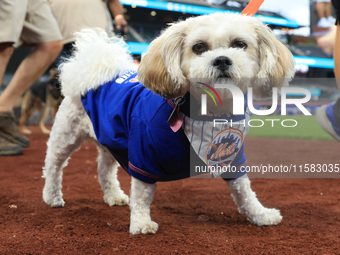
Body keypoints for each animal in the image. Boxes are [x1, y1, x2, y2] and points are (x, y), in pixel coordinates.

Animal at [41, 12, 292, 234]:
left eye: (240, 44)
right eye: (199, 47)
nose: (221, 60)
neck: (208, 114)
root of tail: (95, 69)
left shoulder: (232, 156)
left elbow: (244, 190)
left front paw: (260, 214)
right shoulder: (144, 156)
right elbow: (142, 193)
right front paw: (141, 223)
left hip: (111, 142)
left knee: (104, 170)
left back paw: (113, 196)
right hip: (66, 135)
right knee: (53, 166)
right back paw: (52, 196)